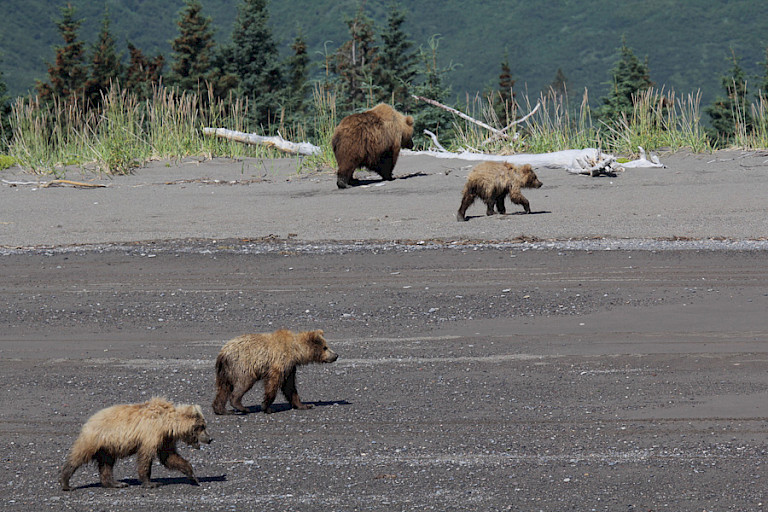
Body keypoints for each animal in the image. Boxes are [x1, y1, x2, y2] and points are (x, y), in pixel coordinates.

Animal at [59, 398, 213, 490]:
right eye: (202, 426)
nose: (210, 439)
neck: (167, 423)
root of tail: (89, 420)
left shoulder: (165, 439)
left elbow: (169, 457)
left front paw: (193, 476)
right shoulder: (151, 433)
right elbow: (146, 457)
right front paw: (151, 483)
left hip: (108, 447)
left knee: (106, 464)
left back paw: (117, 483)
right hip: (96, 439)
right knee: (79, 456)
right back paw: (66, 482)